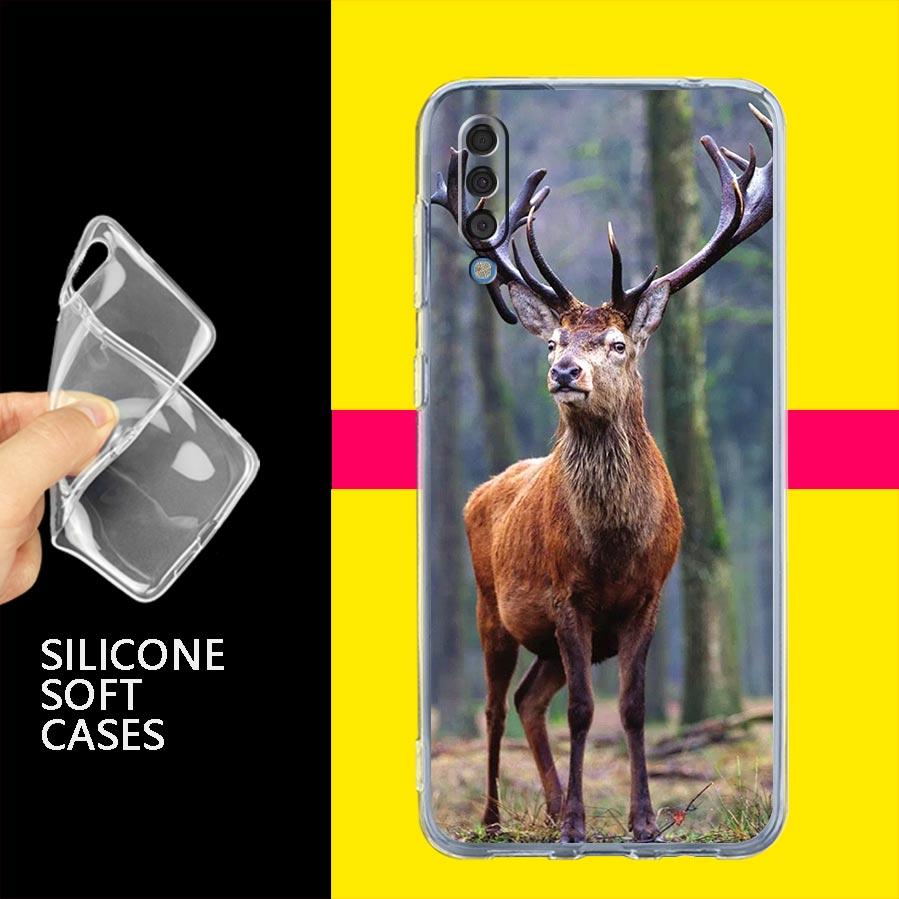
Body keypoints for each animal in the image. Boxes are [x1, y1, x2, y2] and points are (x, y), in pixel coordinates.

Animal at [431, 104, 773, 843]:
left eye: (616, 343)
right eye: (554, 342)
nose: (565, 371)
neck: (612, 546)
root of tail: (482, 489)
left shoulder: (648, 595)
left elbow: (634, 707)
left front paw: (641, 821)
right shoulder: (566, 596)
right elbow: (586, 710)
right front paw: (578, 825)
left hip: (546, 642)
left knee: (531, 700)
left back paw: (551, 802)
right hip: (489, 607)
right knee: (496, 706)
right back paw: (496, 818)